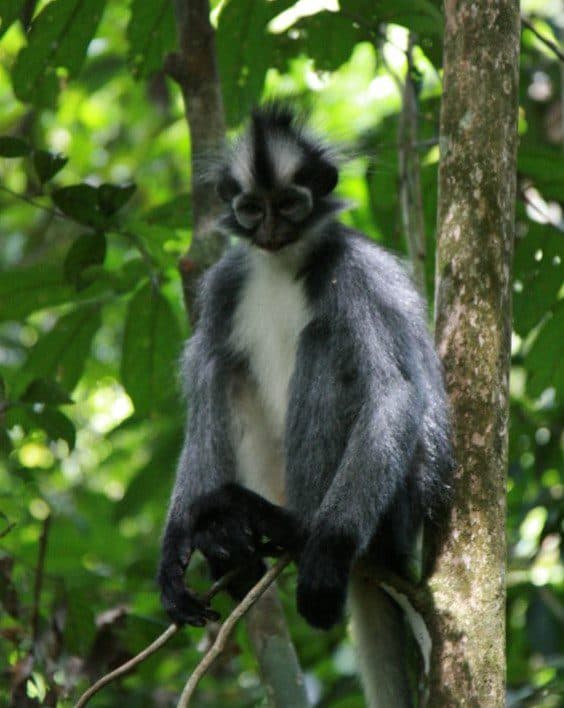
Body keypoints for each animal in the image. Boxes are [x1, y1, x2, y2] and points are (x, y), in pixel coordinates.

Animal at [158, 102, 454, 704]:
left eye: (291, 204)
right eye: (252, 208)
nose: (271, 229)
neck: (282, 266)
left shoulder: (354, 274)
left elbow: (392, 394)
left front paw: (326, 553)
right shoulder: (225, 283)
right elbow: (204, 394)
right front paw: (176, 550)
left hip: (394, 506)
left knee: (326, 340)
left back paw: (291, 527)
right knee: (225, 370)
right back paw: (229, 538)